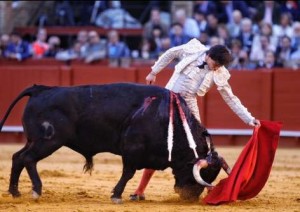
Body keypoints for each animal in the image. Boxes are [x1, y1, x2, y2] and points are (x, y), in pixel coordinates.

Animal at [0, 82, 223, 202]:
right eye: (203, 174)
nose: (190, 197)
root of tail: (40, 89)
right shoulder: (132, 150)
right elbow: (128, 173)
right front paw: (116, 195)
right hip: (48, 141)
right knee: (28, 159)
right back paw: (36, 190)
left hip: (34, 140)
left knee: (18, 157)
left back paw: (15, 191)